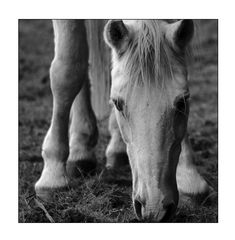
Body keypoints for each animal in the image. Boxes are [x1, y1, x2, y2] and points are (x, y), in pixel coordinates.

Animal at [34, 19, 209, 222]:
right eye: (117, 103)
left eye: (182, 102)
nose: (155, 208)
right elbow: (68, 70)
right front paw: (52, 176)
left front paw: (189, 176)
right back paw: (80, 149)